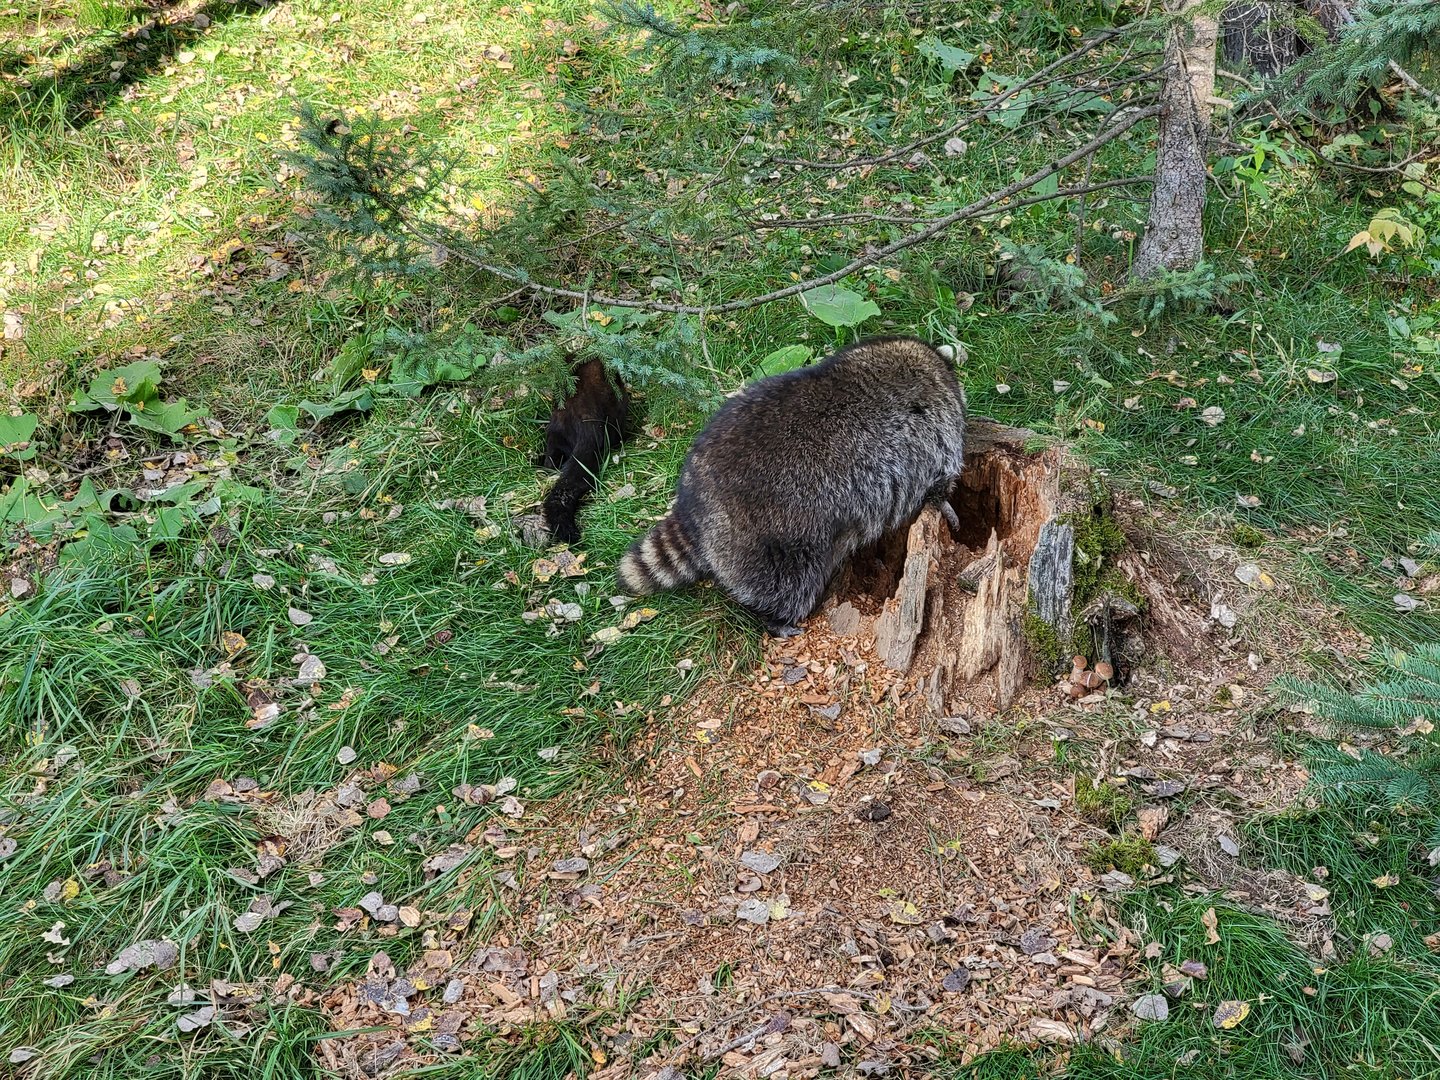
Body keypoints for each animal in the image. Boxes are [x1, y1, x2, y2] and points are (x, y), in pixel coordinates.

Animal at [617, 336, 967, 637]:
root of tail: (692, 503)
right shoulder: (931, 438)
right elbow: (937, 479)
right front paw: (944, 503)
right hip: (776, 540)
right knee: (788, 583)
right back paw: (773, 618)